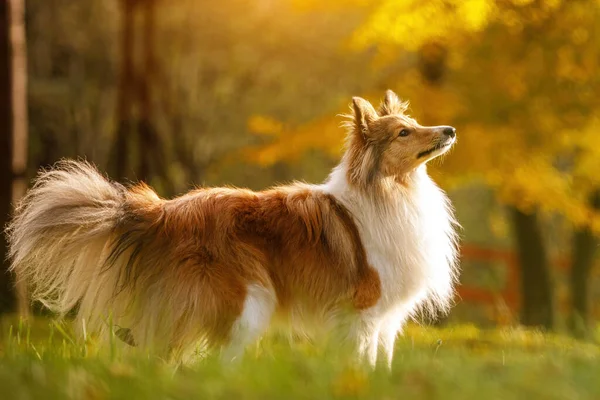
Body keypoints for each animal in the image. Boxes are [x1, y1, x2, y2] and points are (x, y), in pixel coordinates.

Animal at [7, 90, 460, 368]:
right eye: (403, 132)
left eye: (413, 122)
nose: (450, 130)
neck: (389, 190)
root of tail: (164, 211)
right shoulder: (360, 313)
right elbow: (360, 363)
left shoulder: (385, 320)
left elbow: (380, 365)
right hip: (248, 302)